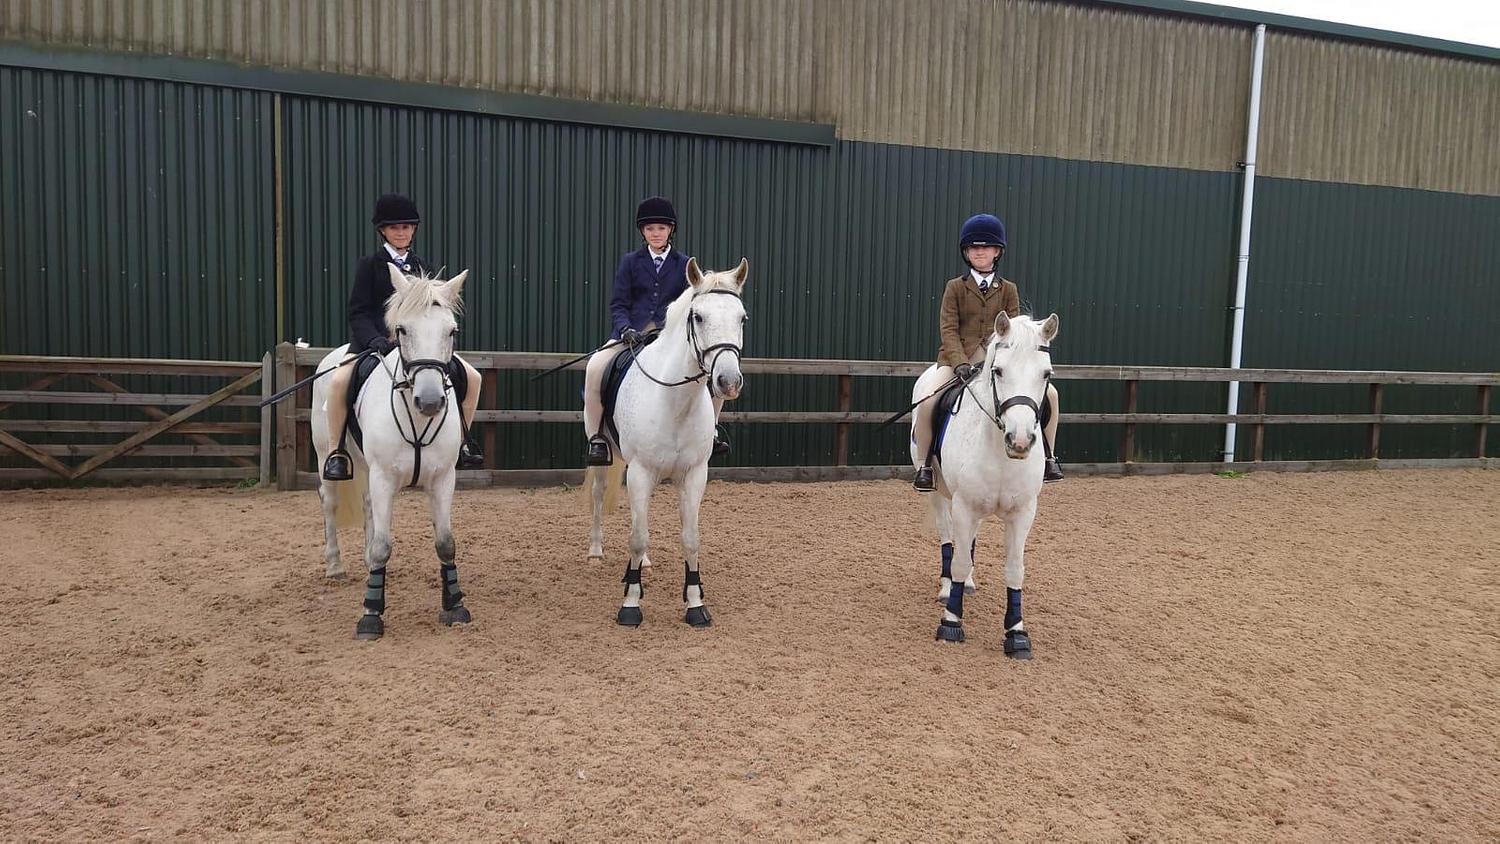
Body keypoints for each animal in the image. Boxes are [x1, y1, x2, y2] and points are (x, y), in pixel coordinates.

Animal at [306, 266, 465, 644]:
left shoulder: (443, 478)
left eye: (451, 331)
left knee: (366, 507)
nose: (430, 402)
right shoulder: (383, 477)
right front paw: (370, 614)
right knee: (330, 503)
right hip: (325, 456)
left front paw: (454, 605)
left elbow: (445, 542)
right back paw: (335, 566)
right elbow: (383, 544)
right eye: (402, 330)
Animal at [585, 257, 750, 626]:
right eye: (698, 316)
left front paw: (695, 604)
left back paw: (641, 565)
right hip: (605, 452)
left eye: (742, 317)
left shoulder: (694, 474)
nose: (728, 381)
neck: (675, 400)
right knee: (600, 494)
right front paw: (630, 604)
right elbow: (636, 536)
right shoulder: (641, 471)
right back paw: (596, 551)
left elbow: (690, 538)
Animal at [906, 310, 1062, 659]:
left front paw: (1016, 633)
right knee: (947, 536)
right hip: (939, 493)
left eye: (1046, 374)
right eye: (999, 371)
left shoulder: (1023, 513)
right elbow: (960, 560)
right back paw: (948, 586)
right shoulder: (963, 505)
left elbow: (1015, 569)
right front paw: (951, 622)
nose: (1020, 441)